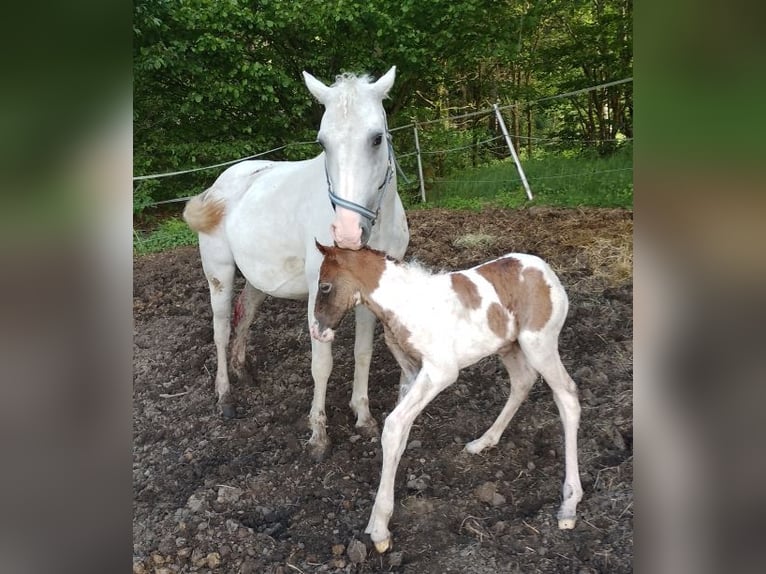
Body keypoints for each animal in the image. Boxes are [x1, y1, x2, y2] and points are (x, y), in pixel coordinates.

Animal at [183, 68, 412, 464]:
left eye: (376, 138)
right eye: (323, 143)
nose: (347, 234)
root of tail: (221, 183)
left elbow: (363, 353)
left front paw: (363, 416)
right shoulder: (319, 296)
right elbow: (322, 364)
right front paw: (318, 435)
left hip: (257, 278)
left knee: (246, 313)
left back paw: (244, 371)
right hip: (219, 274)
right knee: (221, 328)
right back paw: (225, 395)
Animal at [308, 242, 584, 552]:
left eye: (325, 285)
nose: (317, 331)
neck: (404, 303)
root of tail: (546, 271)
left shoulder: (441, 371)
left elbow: (393, 426)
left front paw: (379, 529)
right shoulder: (412, 371)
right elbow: (401, 433)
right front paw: (378, 520)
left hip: (539, 344)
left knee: (567, 396)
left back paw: (569, 504)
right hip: (508, 345)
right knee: (522, 381)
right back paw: (483, 442)